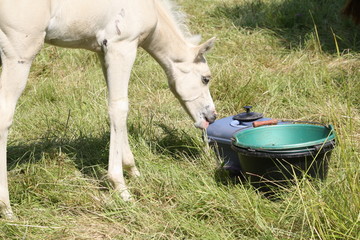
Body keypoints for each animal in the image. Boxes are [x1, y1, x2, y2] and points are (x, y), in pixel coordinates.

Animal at [0, 0, 217, 218]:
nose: (212, 117)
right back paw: (7, 209)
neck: (150, 8)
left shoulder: (103, 53)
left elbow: (116, 107)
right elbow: (119, 108)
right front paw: (122, 189)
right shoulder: (121, 47)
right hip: (20, 53)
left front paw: (133, 170)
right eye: (206, 78)